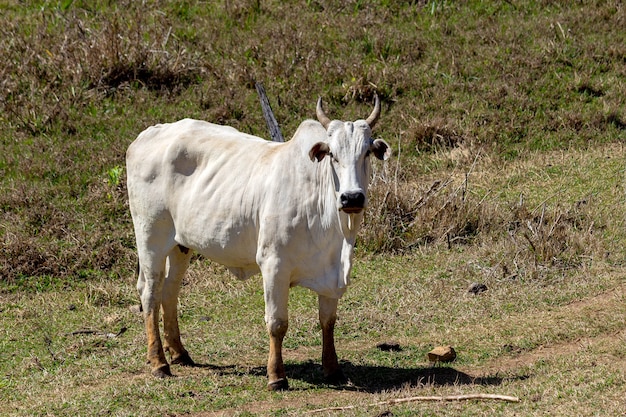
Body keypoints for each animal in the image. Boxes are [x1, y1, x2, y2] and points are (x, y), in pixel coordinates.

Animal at [125, 96, 390, 388]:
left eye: (366, 153)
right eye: (332, 154)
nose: (351, 198)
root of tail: (148, 134)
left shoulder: (331, 273)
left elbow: (327, 321)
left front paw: (333, 369)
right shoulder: (274, 264)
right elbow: (277, 323)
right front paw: (276, 376)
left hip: (180, 245)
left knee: (169, 292)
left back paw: (180, 353)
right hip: (150, 238)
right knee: (150, 293)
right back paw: (159, 362)